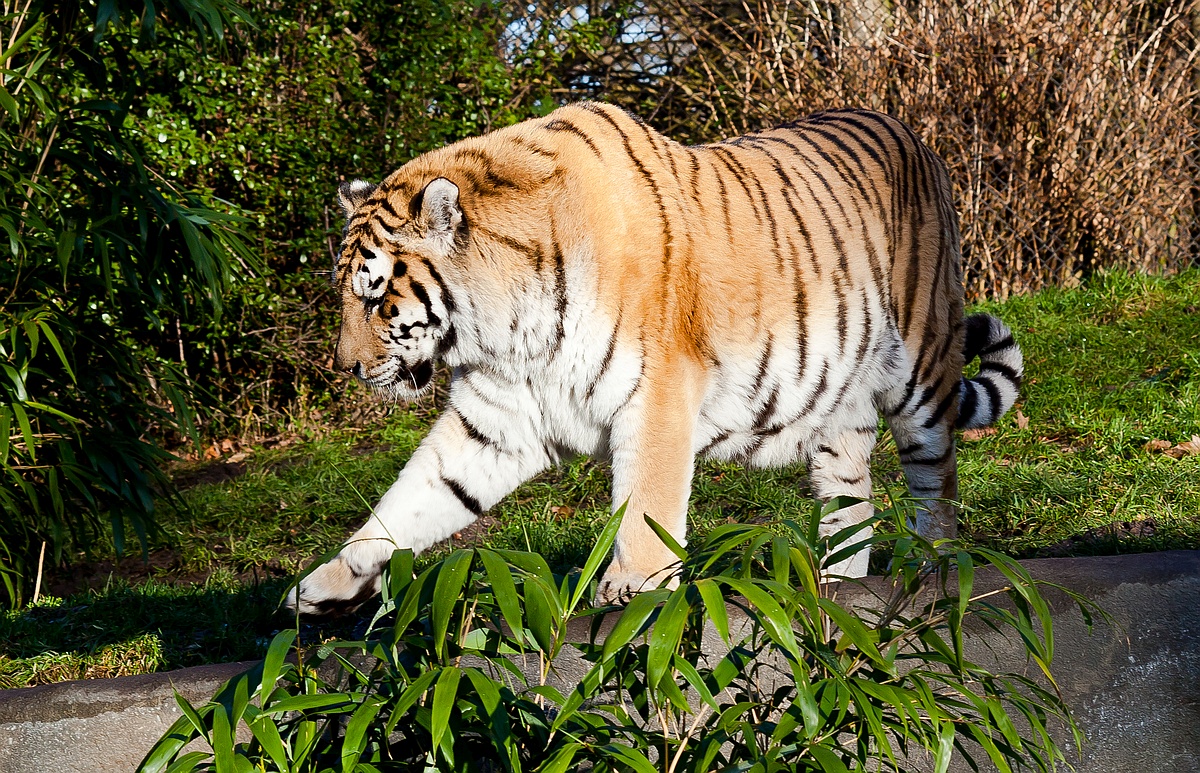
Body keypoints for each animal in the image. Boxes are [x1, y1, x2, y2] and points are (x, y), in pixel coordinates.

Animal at [288, 101, 1022, 614]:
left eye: (376, 296)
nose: (346, 367)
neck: (505, 328)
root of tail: (910, 132)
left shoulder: (659, 390)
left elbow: (646, 499)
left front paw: (633, 581)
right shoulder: (496, 420)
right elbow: (412, 498)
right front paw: (325, 584)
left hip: (922, 371)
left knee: (936, 481)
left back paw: (932, 568)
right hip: (838, 410)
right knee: (852, 502)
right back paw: (838, 585)